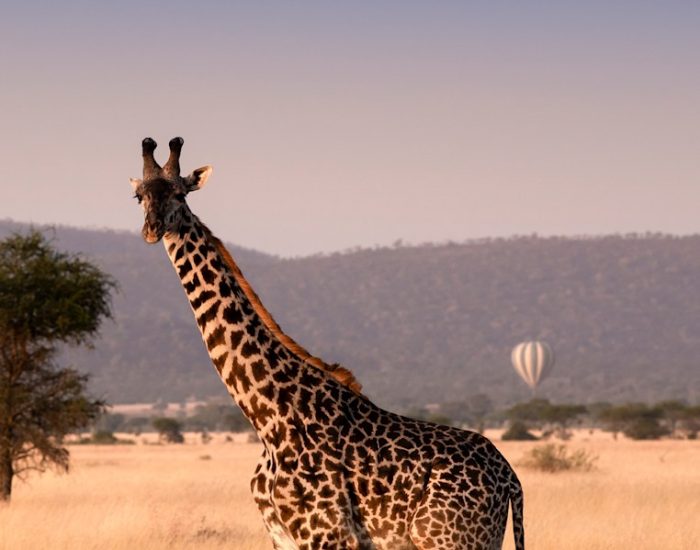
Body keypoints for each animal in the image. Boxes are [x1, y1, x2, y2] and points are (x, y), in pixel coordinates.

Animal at [130, 137, 525, 550]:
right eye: (139, 195)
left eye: (179, 193)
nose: (152, 229)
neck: (268, 419)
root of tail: (510, 479)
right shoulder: (282, 536)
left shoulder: (327, 535)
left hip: (452, 540)